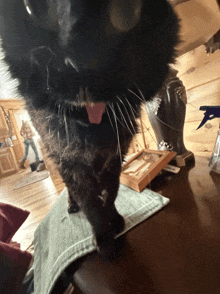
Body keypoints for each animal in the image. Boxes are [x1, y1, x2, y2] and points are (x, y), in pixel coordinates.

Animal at [0, 1, 179, 260]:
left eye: (126, 11)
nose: (83, 61)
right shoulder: (69, 161)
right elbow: (90, 201)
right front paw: (103, 237)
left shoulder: (116, 154)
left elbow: (111, 190)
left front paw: (113, 219)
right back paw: (72, 205)